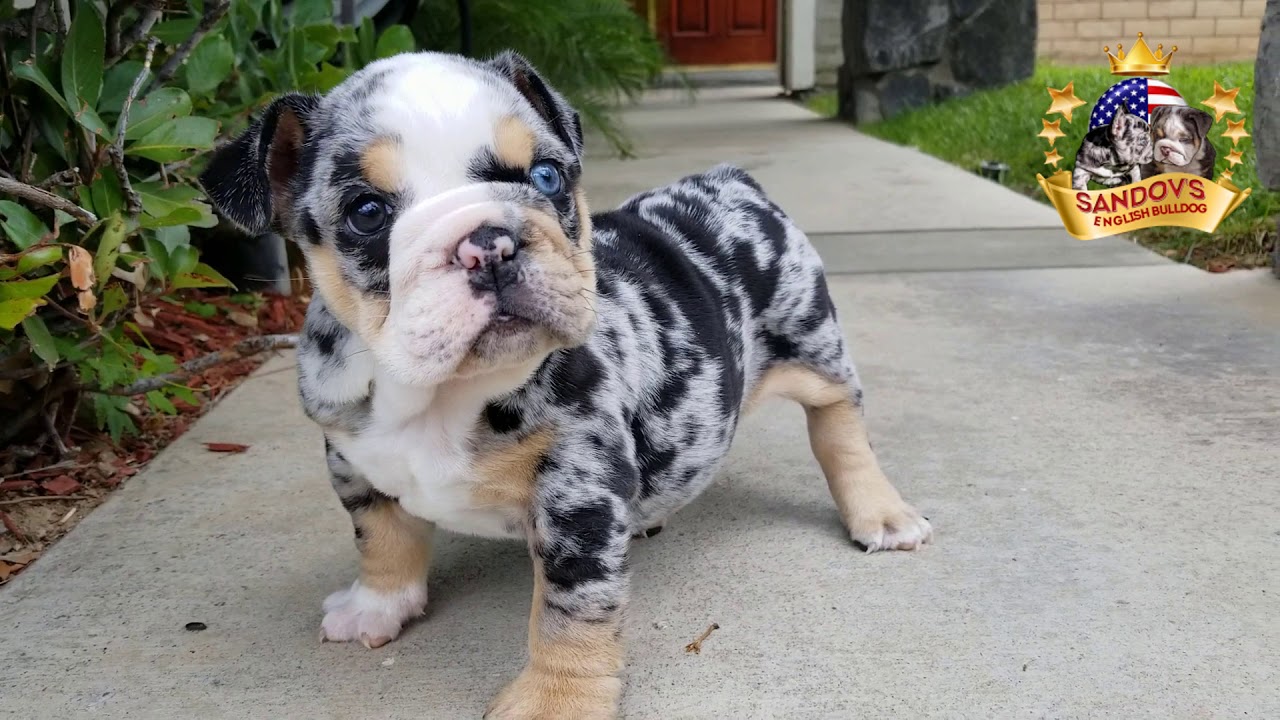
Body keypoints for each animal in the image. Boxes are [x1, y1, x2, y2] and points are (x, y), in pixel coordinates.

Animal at [199, 51, 931, 717]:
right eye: (367, 212)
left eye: (546, 175)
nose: (489, 241)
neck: (439, 391)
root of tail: (732, 183)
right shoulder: (351, 458)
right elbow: (381, 536)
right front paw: (377, 606)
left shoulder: (576, 494)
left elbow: (569, 612)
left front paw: (556, 700)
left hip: (813, 341)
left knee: (840, 425)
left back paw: (880, 511)